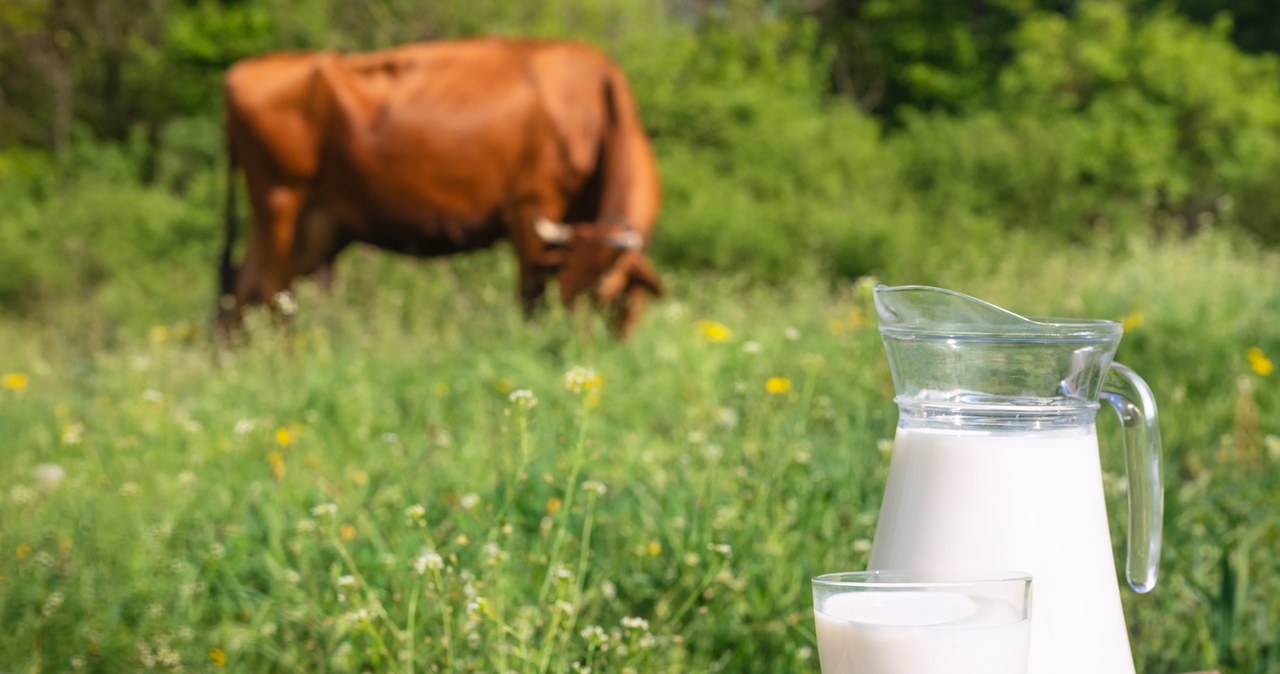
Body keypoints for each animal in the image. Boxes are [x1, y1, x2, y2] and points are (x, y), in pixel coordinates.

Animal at [216, 38, 665, 337]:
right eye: (572, 296)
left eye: (606, 293)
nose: (578, 348)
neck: (593, 110)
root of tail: (240, 71)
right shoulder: (529, 209)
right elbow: (530, 296)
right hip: (281, 200)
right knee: (270, 290)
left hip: (314, 224)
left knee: (244, 287)